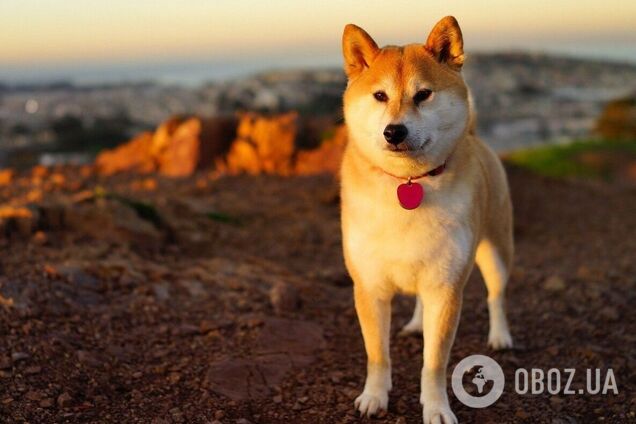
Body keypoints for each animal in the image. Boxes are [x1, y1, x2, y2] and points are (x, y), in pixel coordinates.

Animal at [340, 14, 516, 422]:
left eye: (423, 95)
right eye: (380, 96)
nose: (394, 131)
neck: (408, 184)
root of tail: (476, 135)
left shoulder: (446, 287)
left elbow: (434, 363)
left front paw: (436, 409)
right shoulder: (369, 286)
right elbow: (377, 354)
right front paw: (374, 397)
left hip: (496, 252)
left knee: (496, 295)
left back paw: (500, 336)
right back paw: (418, 323)